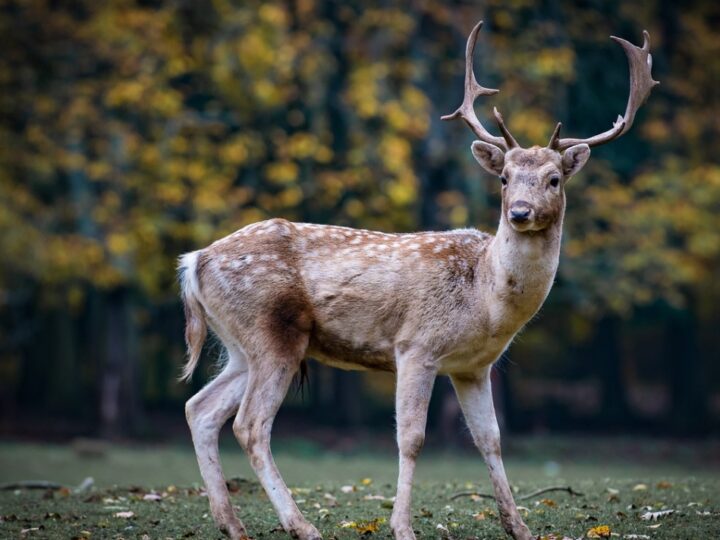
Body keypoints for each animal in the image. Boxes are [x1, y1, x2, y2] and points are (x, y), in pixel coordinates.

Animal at [180, 20, 660, 540]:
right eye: (505, 178)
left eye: (554, 179)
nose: (519, 212)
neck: (485, 299)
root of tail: (195, 260)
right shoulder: (415, 345)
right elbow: (411, 438)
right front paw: (402, 526)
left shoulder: (474, 367)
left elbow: (490, 439)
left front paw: (519, 527)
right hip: (272, 332)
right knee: (250, 424)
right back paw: (301, 525)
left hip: (240, 344)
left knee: (200, 409)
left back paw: (232, 524)